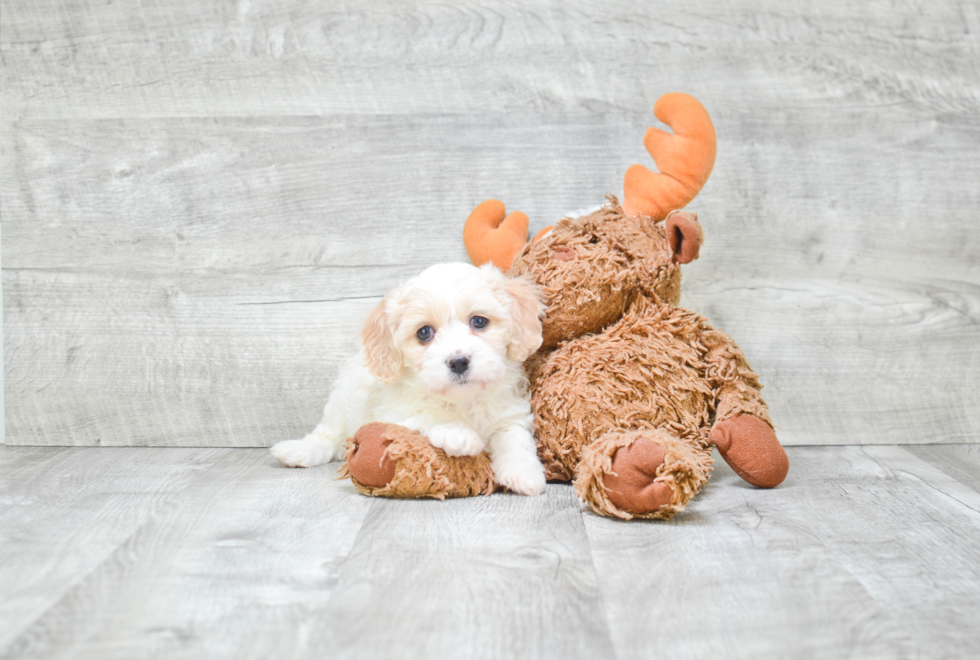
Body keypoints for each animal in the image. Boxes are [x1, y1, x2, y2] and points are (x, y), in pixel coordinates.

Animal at [272, 262, 548, 496]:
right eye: (424, 332)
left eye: (479, 321)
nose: (458, 361)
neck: (463, 400)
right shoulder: (391, 413)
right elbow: (426, 414)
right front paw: (458, 434)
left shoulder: (510, 412)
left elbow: (514, 437)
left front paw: (524, 472)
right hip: (343, 401)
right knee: (327, 436)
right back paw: (297, 452)